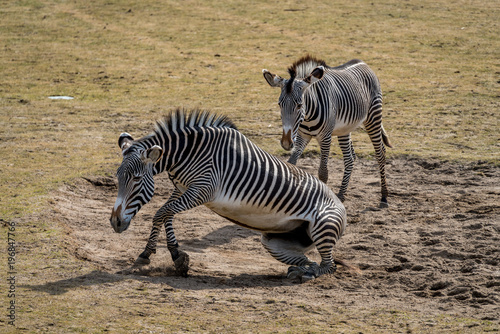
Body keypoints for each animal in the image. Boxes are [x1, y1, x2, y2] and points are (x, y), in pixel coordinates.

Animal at [108, 109, 348, 282]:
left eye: (136, 179)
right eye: (118, 177)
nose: (115, 223)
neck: (188, 154)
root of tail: (340, 204)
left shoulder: (202, 190)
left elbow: (161, 212)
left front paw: (159, 254)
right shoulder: (181, 188)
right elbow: (167, 215)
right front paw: (171, 254)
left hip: (322, 227)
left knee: (329, 266)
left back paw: (308, 274)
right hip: (274, 241)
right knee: (309, 260)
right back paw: (299, 270)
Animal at [264, 55, 392, 207]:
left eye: (299, 105)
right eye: (280, 104)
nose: (285, 143)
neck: (307, 117)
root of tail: (363, 63)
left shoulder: (325, 137)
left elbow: (323, 173)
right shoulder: (302, 135)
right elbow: (291, 164)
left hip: (373, 117)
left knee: (380, 153)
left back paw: (384, 196)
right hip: (345, 128)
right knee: (350, 158)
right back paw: (342, 194)